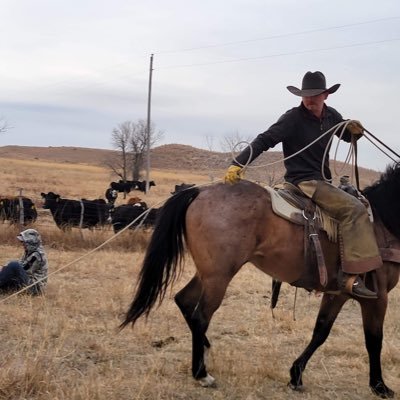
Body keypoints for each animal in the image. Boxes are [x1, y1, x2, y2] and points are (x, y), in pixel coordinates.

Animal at [122, 162, 400, 396]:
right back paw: (202, 374)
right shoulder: (377, 298)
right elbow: (374, 340)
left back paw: (205, 349)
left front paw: (296, 375)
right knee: (201, 314)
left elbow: (320, 332)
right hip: (219, 276)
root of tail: (199, 192)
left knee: (184, 301)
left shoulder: (338, 293)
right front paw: (379, 386)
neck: (383, 223)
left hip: (208, 273)